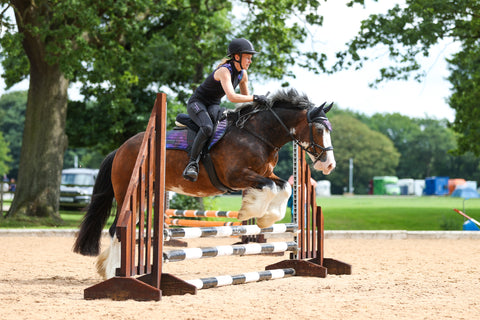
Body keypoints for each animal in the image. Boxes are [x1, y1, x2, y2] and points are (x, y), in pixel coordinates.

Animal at [73, 87, 336, 278]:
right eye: (318, 129)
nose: (329, 165)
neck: (258, 134)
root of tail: (121, 148)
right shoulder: (236, 176)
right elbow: (272, 188)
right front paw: (252, 212)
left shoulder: (264, 174)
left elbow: (285, 187)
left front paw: (263, 217)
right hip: (130, 192)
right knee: (116, 228)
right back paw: (112, 273)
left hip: (146, 196)